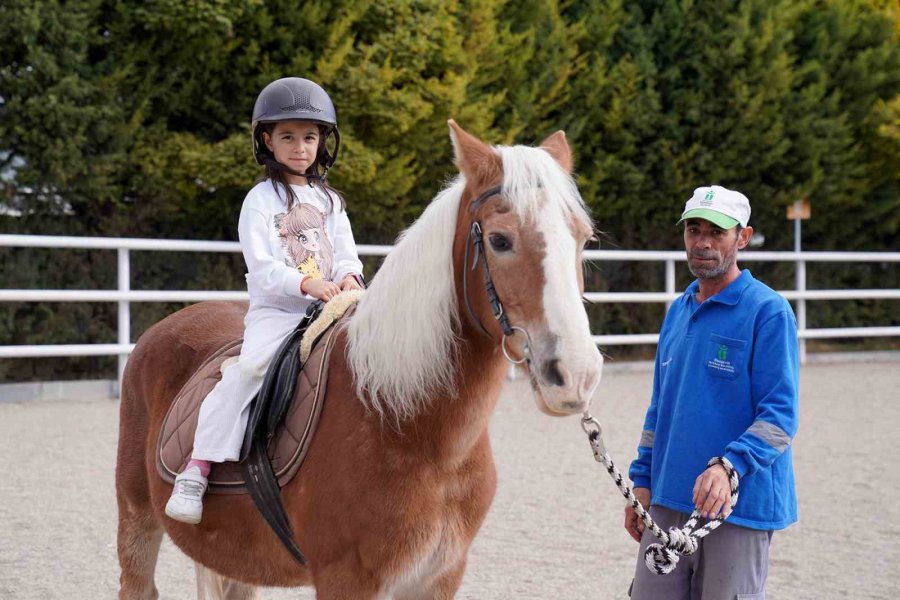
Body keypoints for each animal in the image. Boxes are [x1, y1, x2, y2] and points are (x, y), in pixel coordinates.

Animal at [114, 122, 604, 600]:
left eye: (583, 238)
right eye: (500, 240)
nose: (575, 375)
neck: (405, 423)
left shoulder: (439, 577)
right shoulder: (346, 579)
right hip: (137, 517)